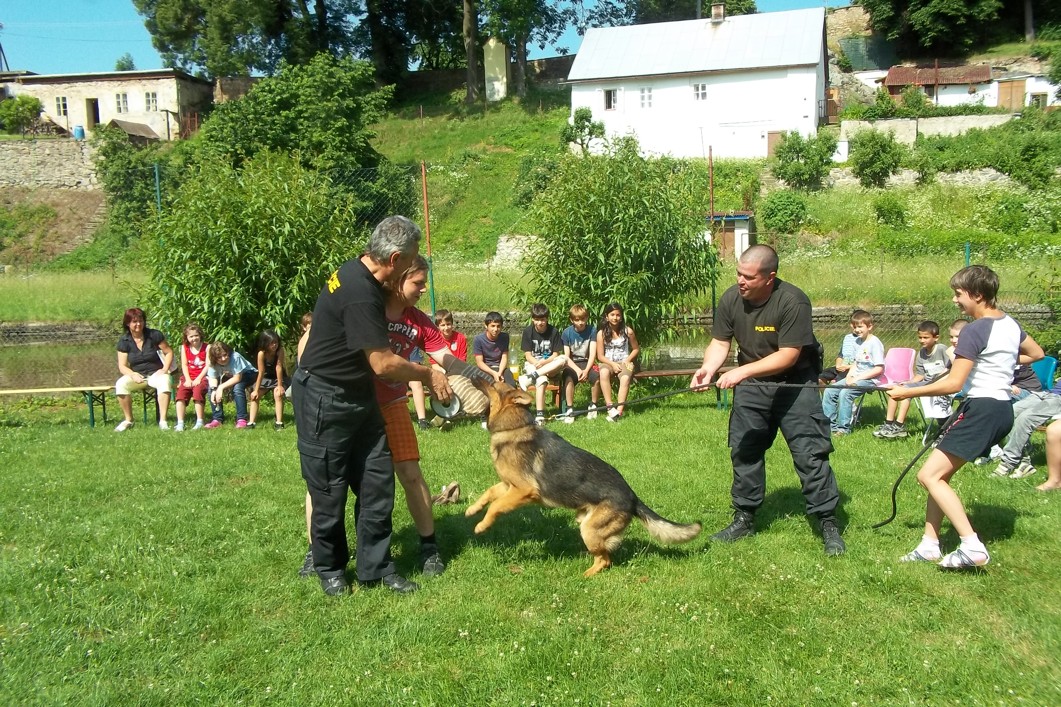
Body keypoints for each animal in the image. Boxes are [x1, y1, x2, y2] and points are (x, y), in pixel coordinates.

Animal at [466, 380, 702, 577]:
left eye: (494, 383)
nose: (475, 376)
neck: (515, 427)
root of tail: (633, 498)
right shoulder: (509, 486)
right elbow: (489, 494)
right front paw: (472, 510)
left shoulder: (524, 491)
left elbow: (496, 506)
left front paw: (482, 525)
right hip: (585, 521)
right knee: (605, 554)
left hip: (589, 530)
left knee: (605, 560)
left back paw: (586, 575)